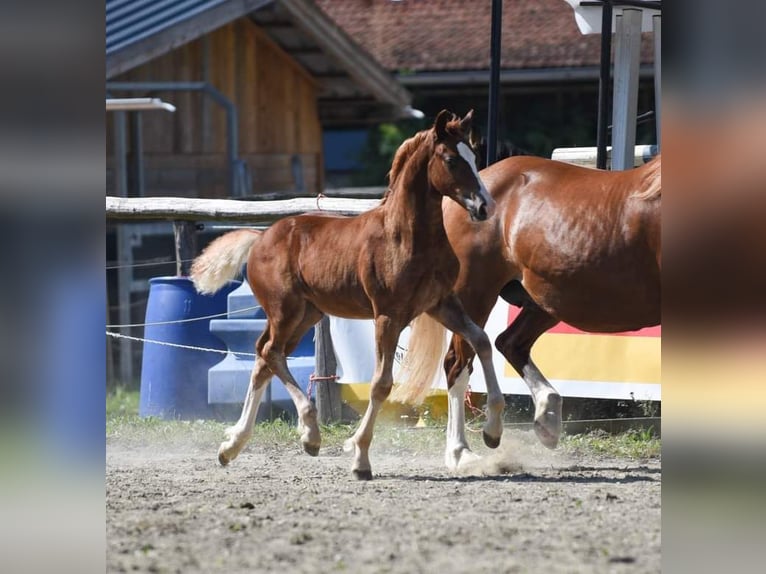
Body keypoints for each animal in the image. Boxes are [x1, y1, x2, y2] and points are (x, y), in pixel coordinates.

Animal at [190, 111, 508, 482]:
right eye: (451, 160)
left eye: (474, 156)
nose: (485, 207)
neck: (405, 237)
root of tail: (259, 238)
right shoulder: (388, 315)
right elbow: (381, 384)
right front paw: (360, 457)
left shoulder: (441, 304)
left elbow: (482, 340)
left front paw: (493, 432)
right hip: (285, 311)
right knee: (270, 352)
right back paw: (307, 433)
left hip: (306, 315)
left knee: (264, 357)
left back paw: (238, 445)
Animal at [396, 154, 660, 472]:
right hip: (473, 295)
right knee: (459, 363)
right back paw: (462, 451)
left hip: (546, 302)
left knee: (509, 343)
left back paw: (546, 417)